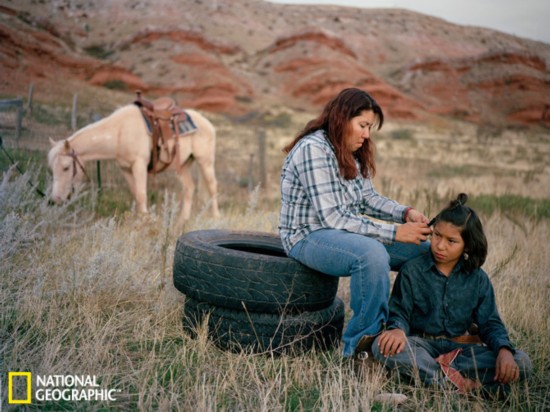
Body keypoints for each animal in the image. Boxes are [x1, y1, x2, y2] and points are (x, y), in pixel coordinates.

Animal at [47, 103, 220, 225]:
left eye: (66, 168)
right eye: (51, 170)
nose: (55, 199)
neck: (119, 132)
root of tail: (207, 123)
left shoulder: (139, 165)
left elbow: (142, 195)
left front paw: (145, 221)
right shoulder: (126, 169)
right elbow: (136, 194)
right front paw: (139, 220)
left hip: (205, 161)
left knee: (212, 187)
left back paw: (215, 218)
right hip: (182, 166)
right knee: (189, 188)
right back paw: (182, 220)